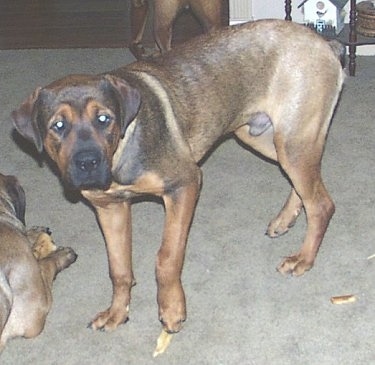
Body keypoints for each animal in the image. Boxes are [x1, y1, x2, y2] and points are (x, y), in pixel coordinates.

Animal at [11, 19, 346, 352]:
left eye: (104, 119)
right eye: (58, 125)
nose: (88, 163)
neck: (122, 152)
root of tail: (325, 44)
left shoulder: (184, 185)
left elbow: (166, 257)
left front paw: (171, 309)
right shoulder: (110, 208)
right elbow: (119, 269)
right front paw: (117, 313)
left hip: (292, 141)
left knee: (321, 203)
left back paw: (303, 259)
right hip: (264, 137)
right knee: (304, 185)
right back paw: (284, 220)